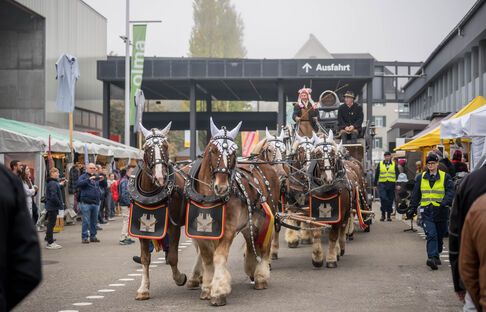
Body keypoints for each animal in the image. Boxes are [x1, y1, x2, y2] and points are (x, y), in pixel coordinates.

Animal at [132, 123, 187, 302]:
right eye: (146, 147)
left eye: (166, 146)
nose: (160, 177)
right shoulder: (142, 228)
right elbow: (145, 258)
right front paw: (143, 289)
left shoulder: (173, 227)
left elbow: (173, 257)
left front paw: (179, 278)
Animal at [185, 118, 280, 306]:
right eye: (213, 151)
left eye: (233, 153)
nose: (221, 187)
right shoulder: (201, 232)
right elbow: (207, 258)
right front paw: (207, 287)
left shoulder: (228, 229)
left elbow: (219, 257)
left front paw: (219, 291)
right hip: (249, 222)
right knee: (251, 243)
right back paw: (251, 269)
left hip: (267, 218)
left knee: (264, 247)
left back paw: (260, 276)